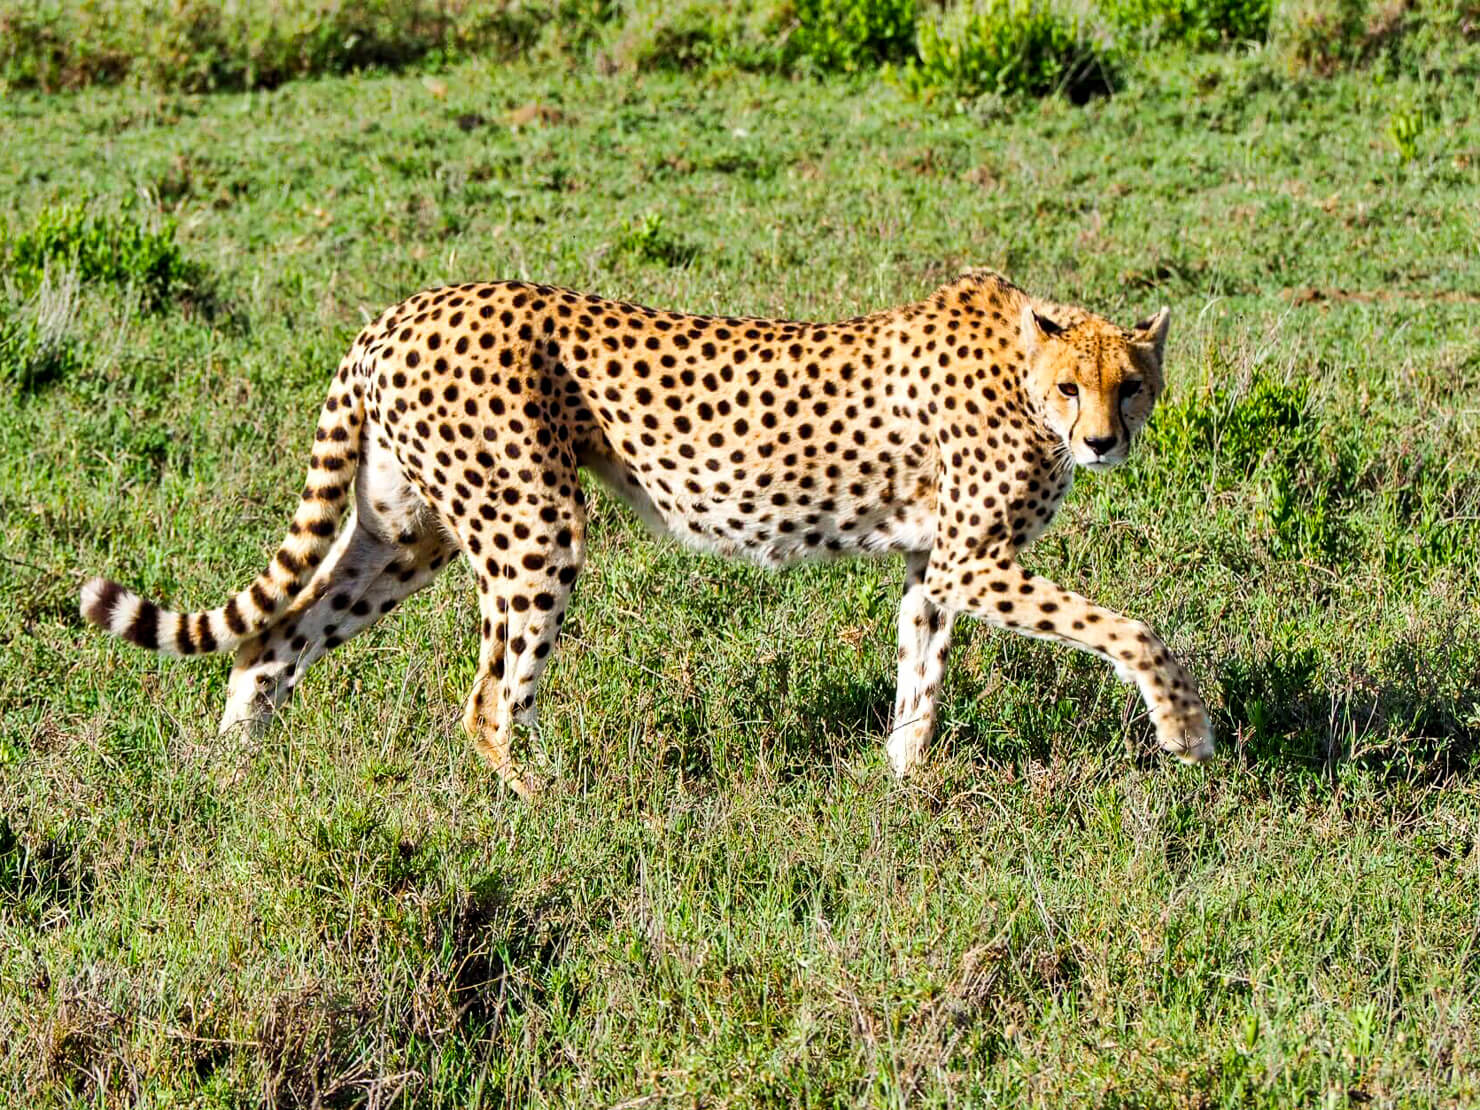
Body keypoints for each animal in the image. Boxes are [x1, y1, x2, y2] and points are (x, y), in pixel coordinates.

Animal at [81, 267, 1213, 799]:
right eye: (1072, 389)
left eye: (1133, 384)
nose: (1104, 442)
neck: (1021, 368)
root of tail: (400, 312)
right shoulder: (979, 560)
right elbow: (1132, 629)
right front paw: (1184, 733)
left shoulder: (938, 567)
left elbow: (920, 679)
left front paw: (901, 784)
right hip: (533, 522)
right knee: (487, 702)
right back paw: (550, 809)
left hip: (406, 535)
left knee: (272, 641)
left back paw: (233, 775)